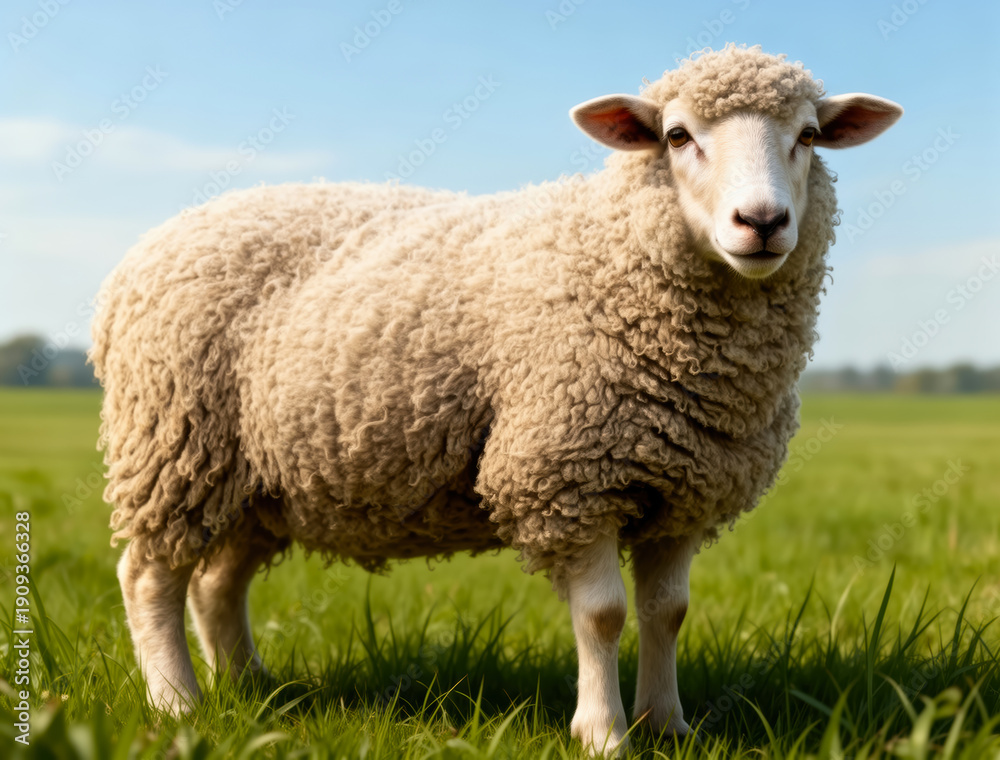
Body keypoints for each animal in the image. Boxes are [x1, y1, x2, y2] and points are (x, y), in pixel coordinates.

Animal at [91, 45, 901, 754]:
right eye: (677, 136)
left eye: (807, 136)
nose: (762, 223)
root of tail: (143, 252)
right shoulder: (568, 473)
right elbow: (603, 615)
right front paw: (603, 734)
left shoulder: (682, 488)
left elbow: (667, 613)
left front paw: (668, 725)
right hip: (173, 443)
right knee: (149, 577)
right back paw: (179, 703)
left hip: (258, 478)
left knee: (216, 584)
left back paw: (252, 687)